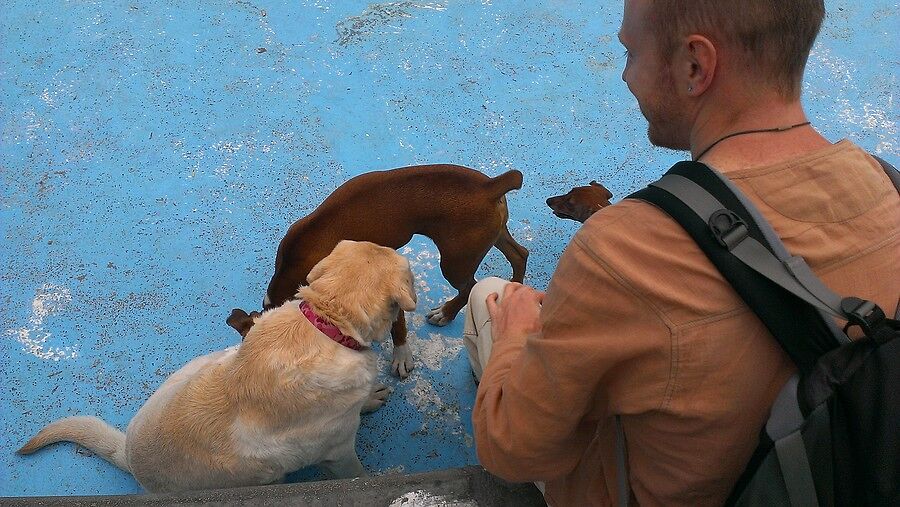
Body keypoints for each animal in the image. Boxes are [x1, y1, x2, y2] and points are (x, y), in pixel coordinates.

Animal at [232, 165, 528, 380]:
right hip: (492, 237)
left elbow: (398, 327)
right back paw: (514, 291)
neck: (291, 270)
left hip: (455, 262)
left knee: (469, 287)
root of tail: (489, 185)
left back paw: (446, 312)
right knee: (520, 254)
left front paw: (401, 358)